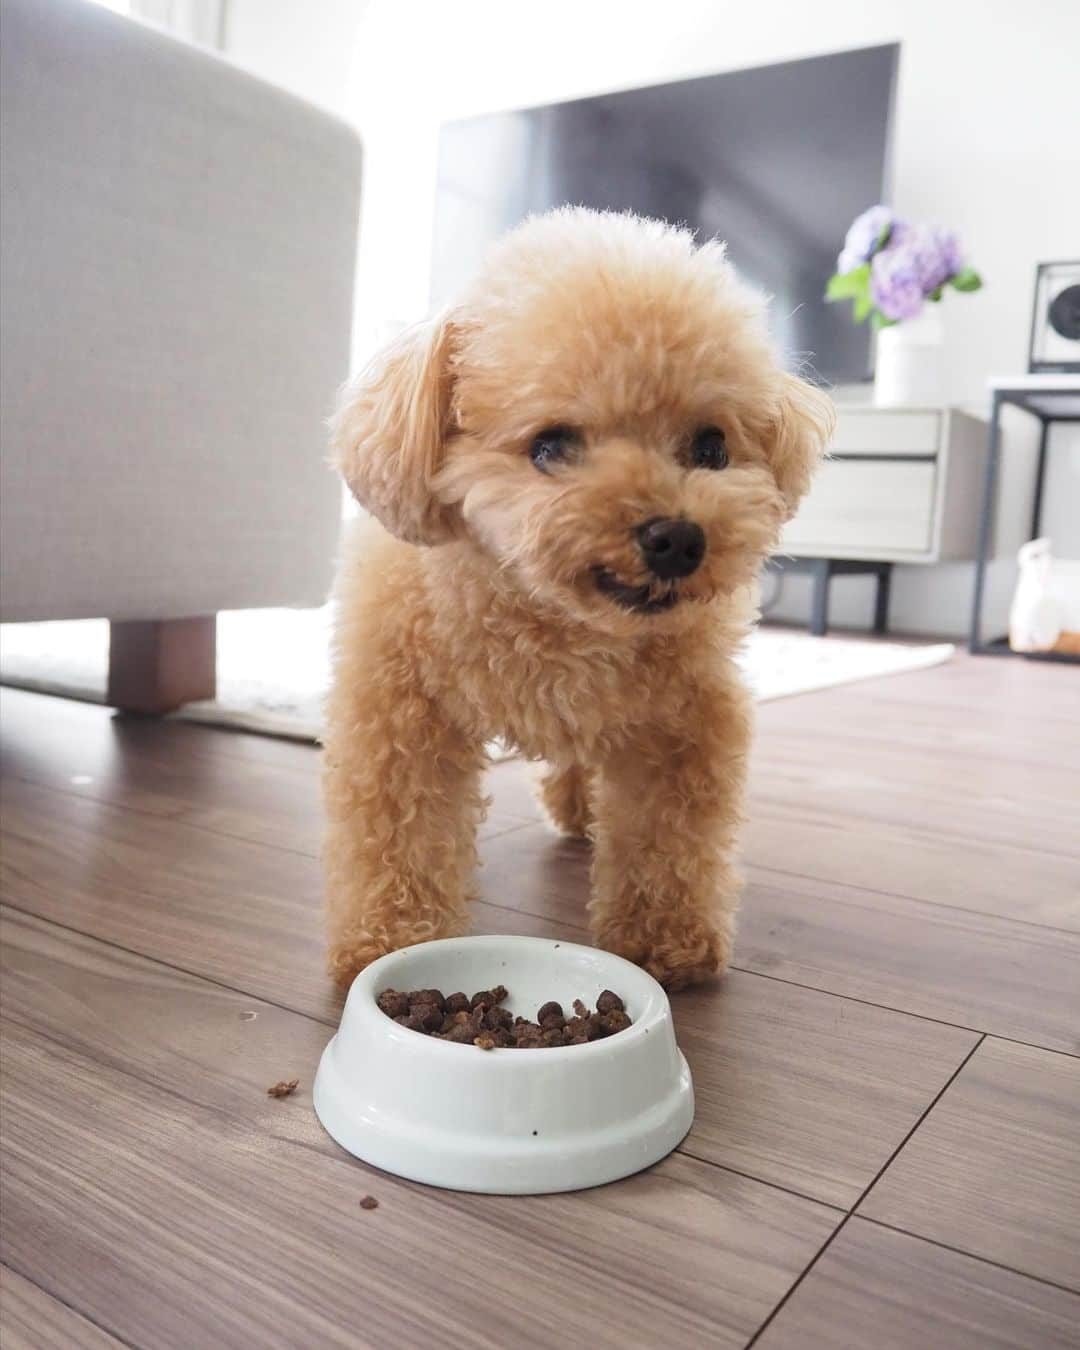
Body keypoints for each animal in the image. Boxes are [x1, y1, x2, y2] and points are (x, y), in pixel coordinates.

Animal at [325, 207, 831, 993]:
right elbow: (401, 829)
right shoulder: (401, 714)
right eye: (551, 444)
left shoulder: (681, 723)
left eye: (711, 447)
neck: (551, 620)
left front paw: (665, 941)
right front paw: (389, 939)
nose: (677, 537)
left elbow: (667, 838)